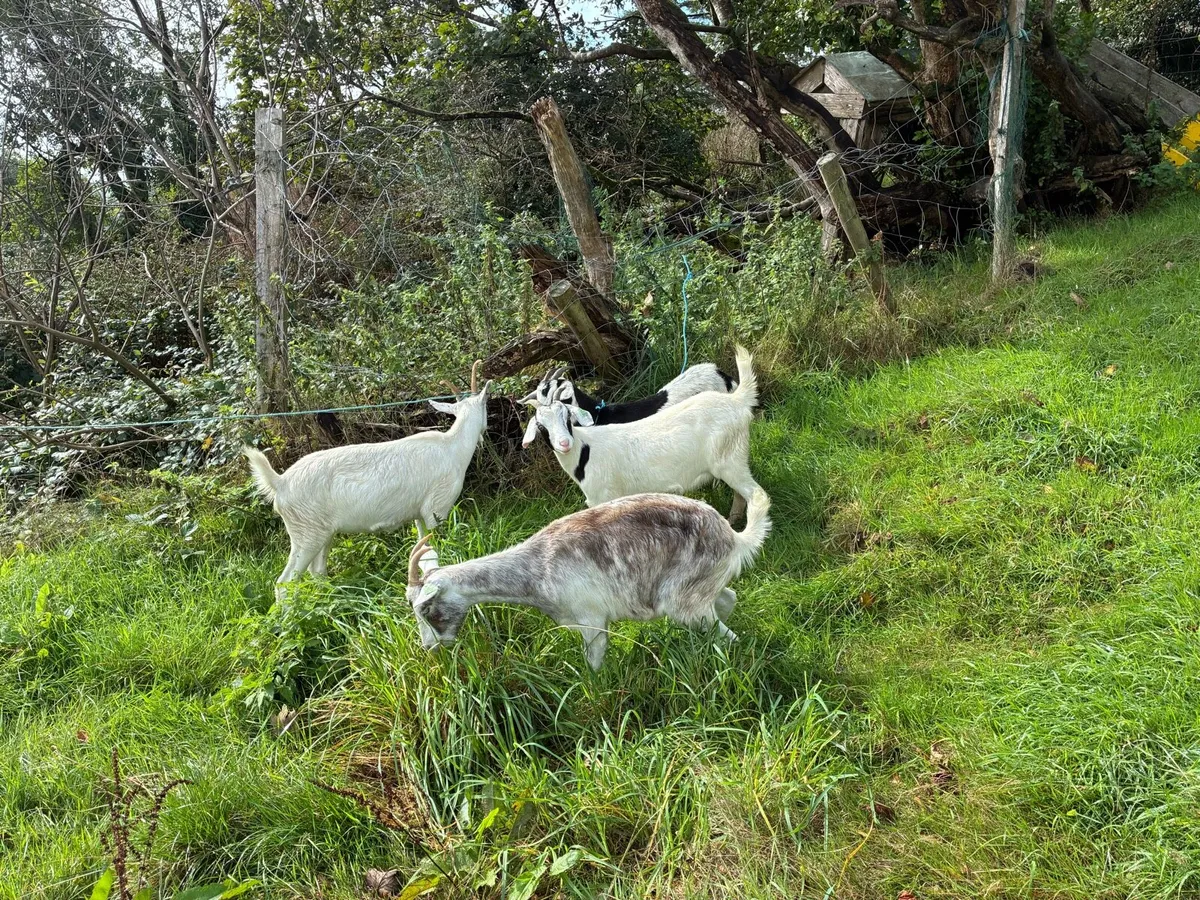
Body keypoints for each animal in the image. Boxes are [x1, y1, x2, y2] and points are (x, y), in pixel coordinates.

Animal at [244, 361, 490, 598]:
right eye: (486, 406)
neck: (453, 446)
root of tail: (280, 482)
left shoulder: (419, 514)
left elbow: (425, 552)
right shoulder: (436, 508)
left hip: (322, 531)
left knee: (317, 571)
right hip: (306, 533)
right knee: (285, 583)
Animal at [406, 488, 771, 670]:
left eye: (426, 609)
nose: (430, 648)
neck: (537, 567)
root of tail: (734, 538)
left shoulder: (592, 621)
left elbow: (594, 665)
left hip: (682, 600)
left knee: (728, 635)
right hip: (701, 587)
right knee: (727, 600)